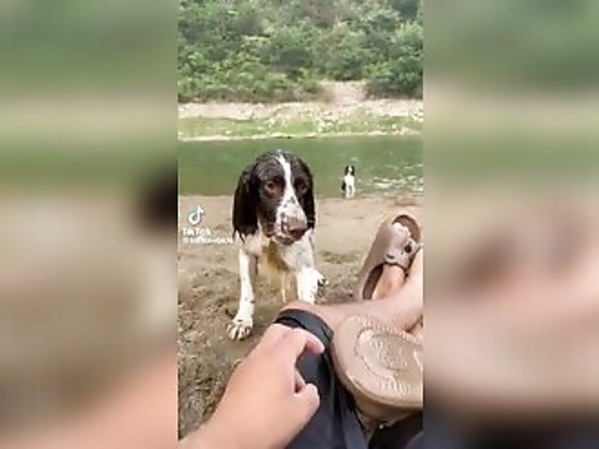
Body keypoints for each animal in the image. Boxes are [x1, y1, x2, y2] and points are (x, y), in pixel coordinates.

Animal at [229, 150, 326, 340]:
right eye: (271, 185)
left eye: (303, 186)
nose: (299, 229)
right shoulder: (247, 252)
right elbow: (247, 290)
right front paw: (242, 321)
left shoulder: (303, 266)